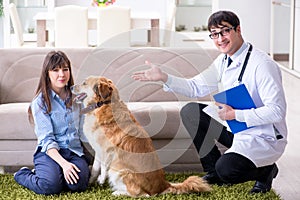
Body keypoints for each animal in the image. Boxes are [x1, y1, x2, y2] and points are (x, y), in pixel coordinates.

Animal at [72, 76, 211, 196]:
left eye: (84, 83)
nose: (71, 86)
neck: (103, 104)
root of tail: (163, 185)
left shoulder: (107, 150)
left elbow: (103, 167)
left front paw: (101, 180)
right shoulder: (98, 149)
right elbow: (95, 168)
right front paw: (91, 181)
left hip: (120, 170)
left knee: (142, 194)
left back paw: (118, 192)